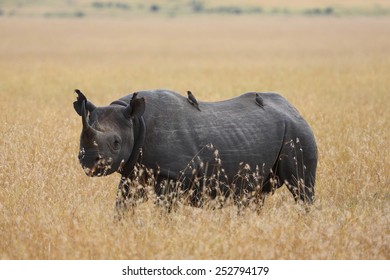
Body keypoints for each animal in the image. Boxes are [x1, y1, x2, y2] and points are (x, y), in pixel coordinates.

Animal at [72, 88, 316, 213]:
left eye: (116, 142)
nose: (90, 161)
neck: (135, 121)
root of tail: (293, 107)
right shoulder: (133, 171)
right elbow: (123, 203)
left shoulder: (171, 173)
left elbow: (165, 209)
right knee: (254, 195)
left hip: (298, 131)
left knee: (302, 188)